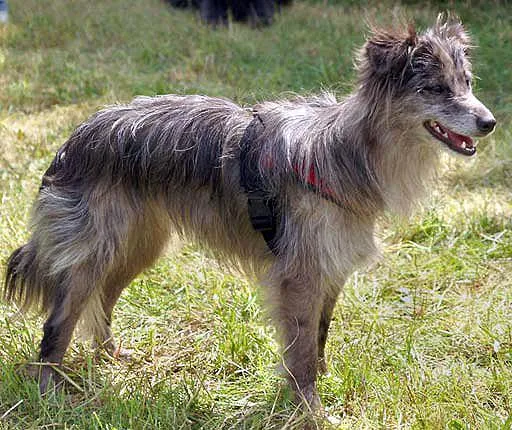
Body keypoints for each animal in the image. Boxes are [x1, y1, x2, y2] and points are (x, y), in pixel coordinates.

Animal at [1, 17, 496, 410]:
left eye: (467, 83)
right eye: (435, 89)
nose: (490, 123)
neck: (349, 153)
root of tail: (78, 135)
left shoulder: (329, 270)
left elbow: (318, 335)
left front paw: (319, 386)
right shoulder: (299, 275)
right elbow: (301, 347)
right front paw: (310, 408)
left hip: (139, 245)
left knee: (102, 299)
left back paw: (109, 356)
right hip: (94, 251)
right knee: (60, 321)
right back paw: (49, 388)